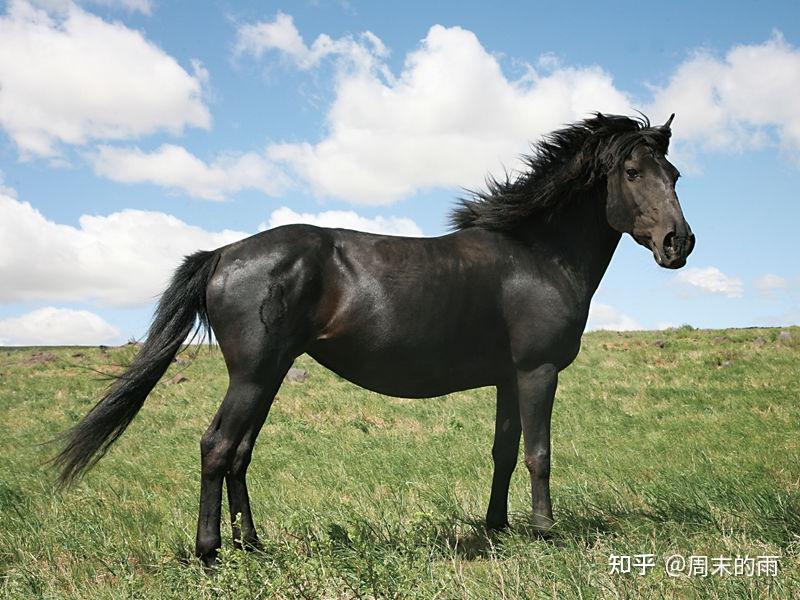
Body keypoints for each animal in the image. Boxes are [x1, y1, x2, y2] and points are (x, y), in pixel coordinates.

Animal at [54, 113, 694, 568]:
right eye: (633, 173)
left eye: (675, 176)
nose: (679, 243)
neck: (537, 255)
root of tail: (224, 254)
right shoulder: (538, 372)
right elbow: (540, 454)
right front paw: (544, 533)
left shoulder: (509, 378)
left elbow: (505, 452)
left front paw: (497, 528)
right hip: (254, 373)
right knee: (217, 446)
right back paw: (210, 553)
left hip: (270, 374)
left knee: (239, 453)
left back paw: (252, 547)